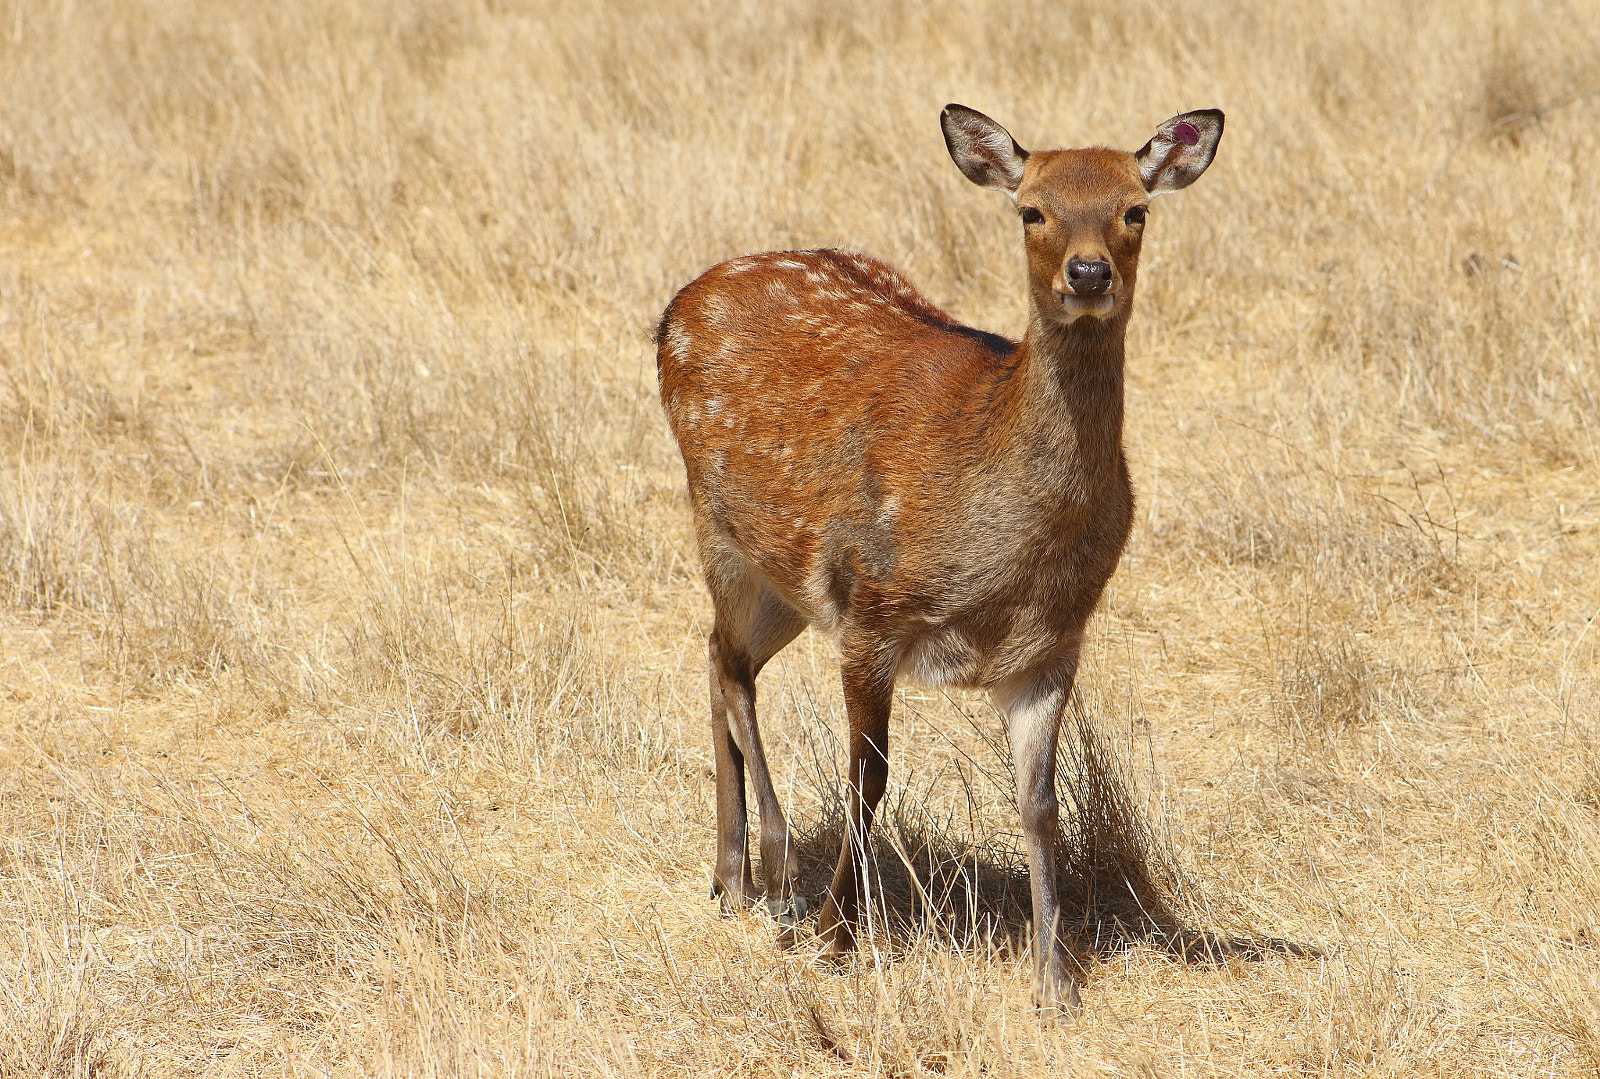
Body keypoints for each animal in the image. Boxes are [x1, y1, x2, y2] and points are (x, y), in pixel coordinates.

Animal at [655, 104, 1223, 1014]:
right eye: (1031, 210)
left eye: (1135, 209)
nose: (1088, 273)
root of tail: (679, 301)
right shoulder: (870, 607)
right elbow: (869, 777)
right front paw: (835, 935)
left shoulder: (1050, 646)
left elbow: (1040, 803)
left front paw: (1054, 979)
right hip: (725, 526)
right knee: (732, 668)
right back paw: (775, 865)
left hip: (781, 577)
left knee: (715, 656)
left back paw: (729, 876)